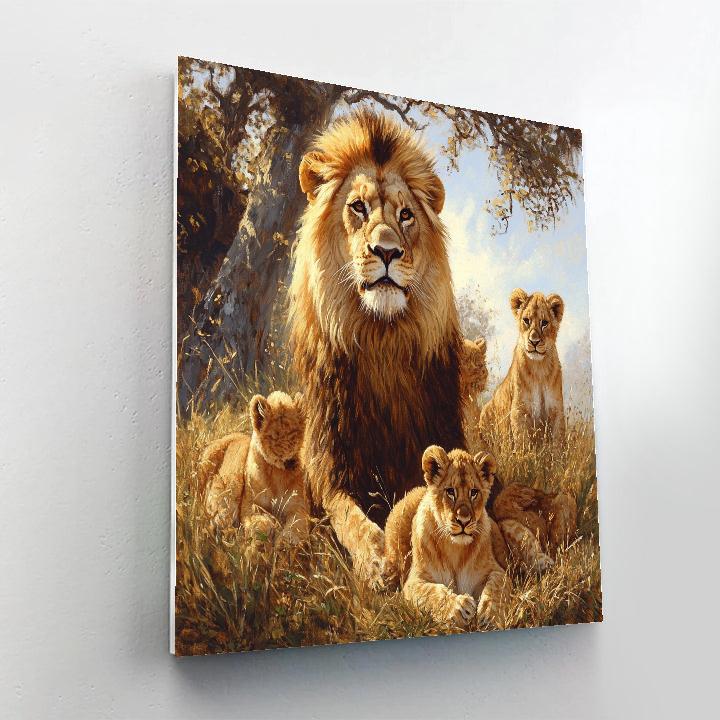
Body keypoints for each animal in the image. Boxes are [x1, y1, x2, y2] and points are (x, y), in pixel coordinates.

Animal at [200, 391, 309, 544]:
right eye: (273, 437)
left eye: (295, 433)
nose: (291, 461)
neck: (277, 475)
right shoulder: (249, 507)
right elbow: (259, 524)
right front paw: (263, 537)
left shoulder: (298, 506)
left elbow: (296, 526)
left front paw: (285, 542)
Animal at [290, 110, 465, 584]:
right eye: (358, 207)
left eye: (406, 215)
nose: (387, 251)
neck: (381, 339)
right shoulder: (328, 467)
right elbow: (347, 514)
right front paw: (374, 559)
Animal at [385, 446, 511, 626]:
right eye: (450, 491)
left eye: (474, 492)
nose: (464, 520)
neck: (455, 548)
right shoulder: (414, 580)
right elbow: (430, 592)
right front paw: (459, 607)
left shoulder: (497, 570)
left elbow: (497, 586)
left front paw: (490, 614)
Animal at [479, 289, 566, 449]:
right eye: (526, 320)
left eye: (544, 323)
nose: (534, 341)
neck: (539, 368)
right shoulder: (519, 411)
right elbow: (523, 443)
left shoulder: (557, 410)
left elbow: (558, 444)